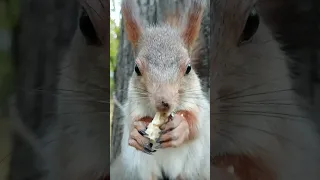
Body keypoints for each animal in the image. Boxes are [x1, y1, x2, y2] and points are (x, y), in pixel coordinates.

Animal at [114, 0, 211, 180]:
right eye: (136, 69)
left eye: (188, 68)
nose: (163, 102)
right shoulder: (133, 104)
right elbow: (131, 121)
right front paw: (136, 132)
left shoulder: (198, 104)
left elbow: (196, 123)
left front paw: (180, 126)